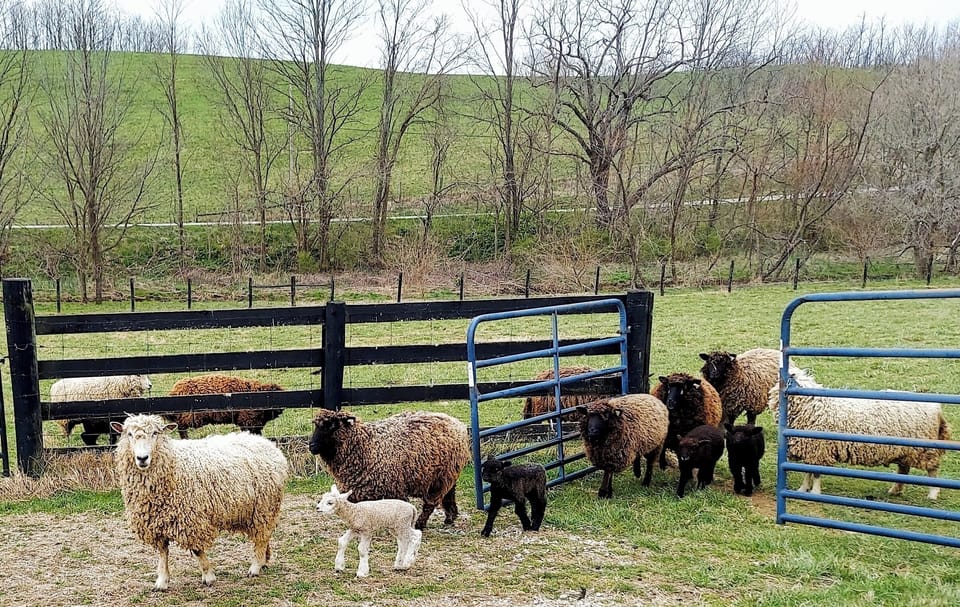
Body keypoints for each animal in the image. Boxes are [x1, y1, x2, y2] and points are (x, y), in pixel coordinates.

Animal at [111, 414, 288, 591]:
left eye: (155, 433)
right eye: (129, 434)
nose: (142, 458)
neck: (173, 464)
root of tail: (267, 443)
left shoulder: (191, 518)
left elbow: (197, 550)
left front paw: (208, 576)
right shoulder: (156, 522)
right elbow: (163, 552)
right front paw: (162, 581)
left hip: (264, 507)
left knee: (261, 537)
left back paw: (256, 566)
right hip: (259, 510)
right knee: (264, 535)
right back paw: (264, 560)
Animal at [308, 409, 470, 530]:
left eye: (331, 426)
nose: (311, 446)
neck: (366, 446)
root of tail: (457, 423)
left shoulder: (394, 487)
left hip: (440, 478)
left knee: (430, 503)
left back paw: (421, 523)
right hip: (446, 474)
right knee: (449, 494)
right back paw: (450, 517)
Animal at [769, 369, 951, 499]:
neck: (812, 407)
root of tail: (937, 409)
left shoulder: (819, 448)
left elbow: (816, 473)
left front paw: (815, 492)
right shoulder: (810, 449)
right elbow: (807, 471)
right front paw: (802, 489)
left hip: (925, 449)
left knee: (932, 470)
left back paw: (933, 493)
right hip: (906, 450)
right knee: (904, 469)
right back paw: (895, 490)